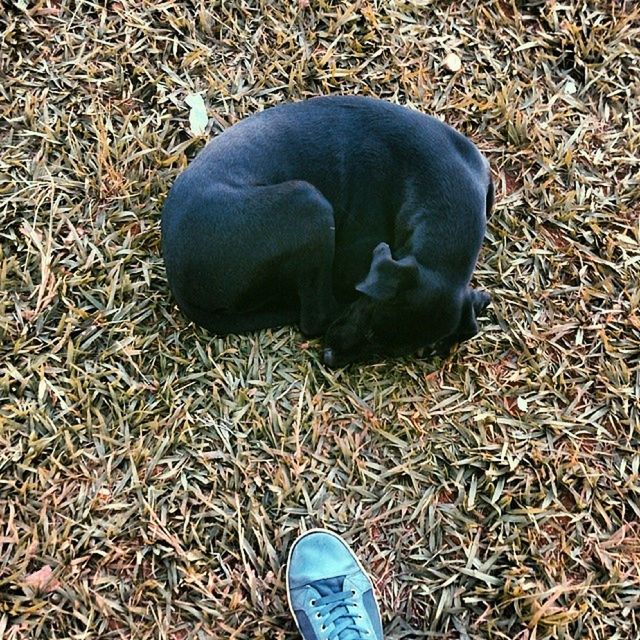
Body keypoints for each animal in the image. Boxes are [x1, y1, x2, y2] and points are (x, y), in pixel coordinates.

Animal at [162, 94, 492, 364]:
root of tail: (178, 280)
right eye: (367, 311)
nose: (331, 358)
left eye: (389, 351)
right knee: (315, 317)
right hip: (308, 202)